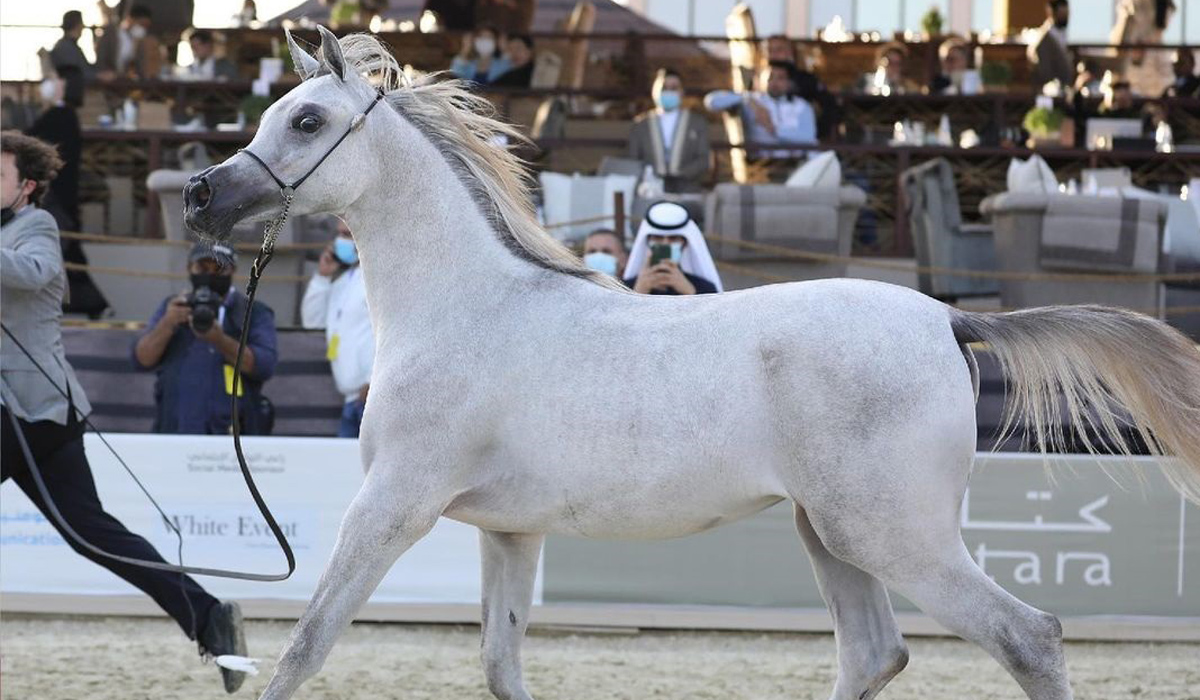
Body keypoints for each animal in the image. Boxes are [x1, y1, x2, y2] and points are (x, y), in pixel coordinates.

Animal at [183, 27, 1200, 700]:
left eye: (307, 120)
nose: (198, 198)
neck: (467, 306)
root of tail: (948, 319)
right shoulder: (508, 530)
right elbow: (502, 665)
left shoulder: (394, 505)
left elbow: (304, 647)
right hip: (829, 533)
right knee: (875, 652)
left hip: (892, 533)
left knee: (1029, 636)